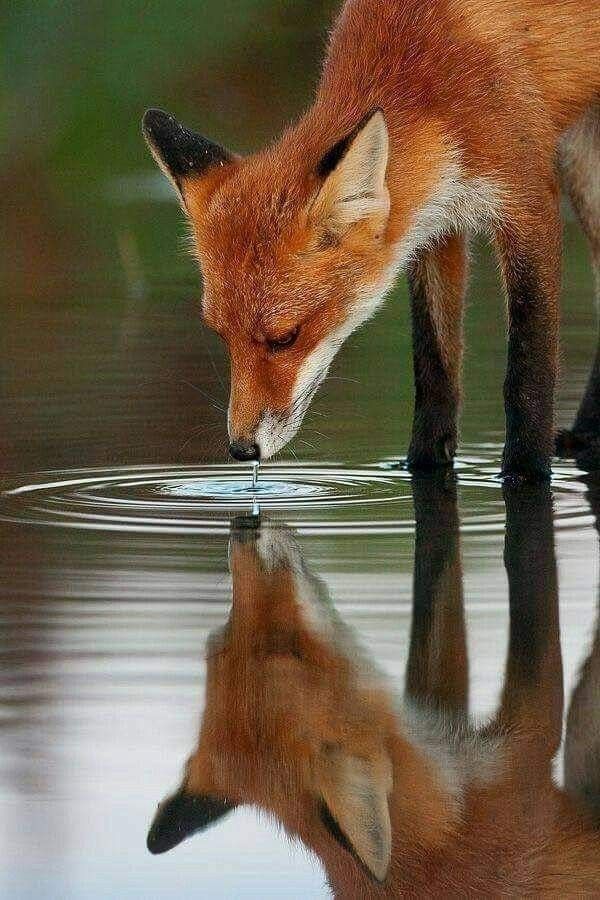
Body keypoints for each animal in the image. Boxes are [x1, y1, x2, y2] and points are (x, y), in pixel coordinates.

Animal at [142, 0, 600, 481]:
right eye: (220, 335)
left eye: (285, 338)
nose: (242, 449)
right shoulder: (434, 223)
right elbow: (434, 369)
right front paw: (422, 464)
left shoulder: (527, 200)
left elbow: (527, 374)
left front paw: (525, 472)